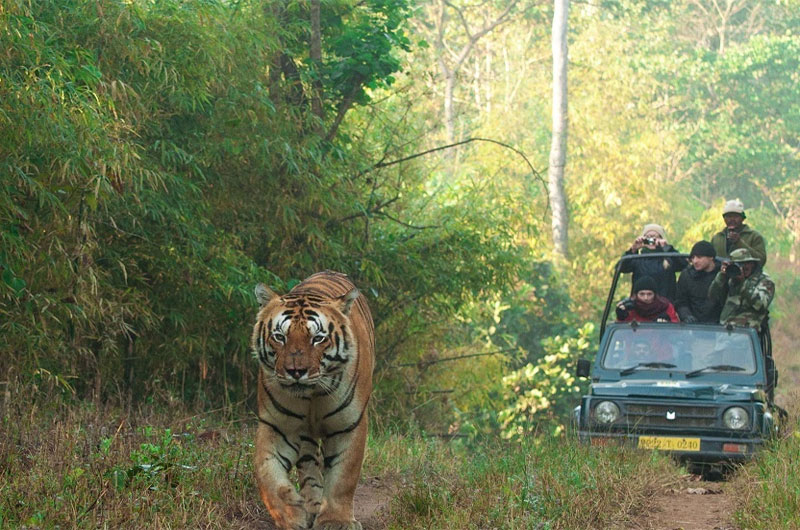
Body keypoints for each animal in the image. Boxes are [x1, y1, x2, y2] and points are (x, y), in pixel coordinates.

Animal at [250, 270, 376, 528]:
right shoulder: (278, 426)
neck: (313, 395)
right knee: (309, 465)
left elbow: (343, 476)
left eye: (318, 338)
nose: (295, 371)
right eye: (280, 336)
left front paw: (337, 521)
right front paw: (291, 514)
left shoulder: (349, 425)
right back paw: (311, 504)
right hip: (305, 436)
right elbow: (266, 472)